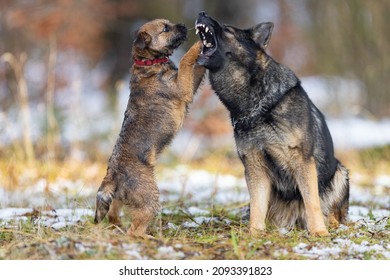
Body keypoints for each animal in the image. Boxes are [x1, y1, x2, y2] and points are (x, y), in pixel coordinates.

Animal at [95, 18, 206, 237]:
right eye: (165, 28)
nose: (183, 25)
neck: (149, 63)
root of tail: (112, 176)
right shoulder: (183, 87)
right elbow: (186, 61)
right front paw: (199, 45)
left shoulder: (190, 84)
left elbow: (196, 67)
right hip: (149, 198)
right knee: (134, 231)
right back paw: (150, 238)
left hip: (122, 199)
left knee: (113, 216)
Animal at [197, 13, 348, 236]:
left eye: (227, 29)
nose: (202, 14)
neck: (257, 105)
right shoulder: (254, 167)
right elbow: (257, 206)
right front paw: (254, 233)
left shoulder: (303, 162)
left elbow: (312, 202)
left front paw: (319, 233)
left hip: (340, 173)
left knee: (331, 212)